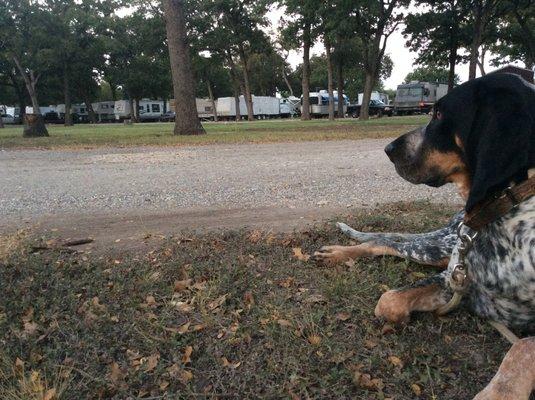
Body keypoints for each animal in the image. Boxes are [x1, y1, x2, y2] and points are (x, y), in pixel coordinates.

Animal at [314, 73, 535, 398]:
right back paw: (338, 254)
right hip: (438, 249)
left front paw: (500, 391)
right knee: (386, 241)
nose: (388, 149)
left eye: (439, 114)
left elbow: (523, 346)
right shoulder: (454, 280)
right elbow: (389, 299)